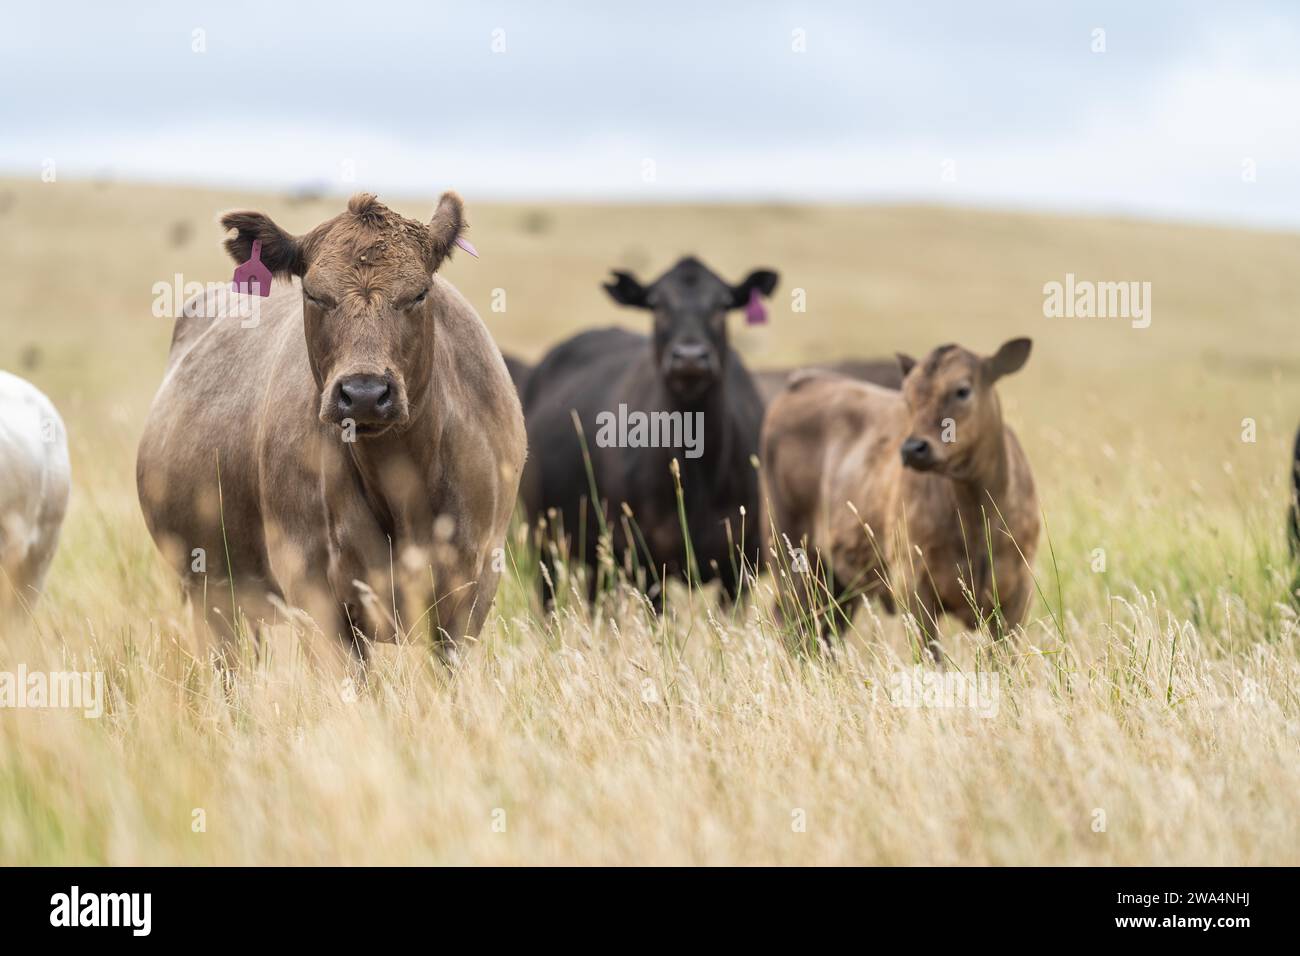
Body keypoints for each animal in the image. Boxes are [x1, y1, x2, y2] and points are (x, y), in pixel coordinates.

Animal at [137, 191, 522, 671]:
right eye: (315, 294)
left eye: (419, 293)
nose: (364, 393)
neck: (400, 484)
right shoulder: (316, 596)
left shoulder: (471, 591)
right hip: (210, 595)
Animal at [522, 257, 774, 600]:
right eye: (656, 304)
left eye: (723, 304)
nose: (690, 358)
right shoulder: (646, 561)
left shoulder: (740, 567)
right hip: (545, 538)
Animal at [759, 335, 1040, 658]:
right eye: (908, 397)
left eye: (962, 390)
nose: (913, 448)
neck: (977, 516)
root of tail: (806, 381)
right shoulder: (912, 586)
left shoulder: (1017, 594)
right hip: (789, 553)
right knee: (791, 622)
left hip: (835, 581)